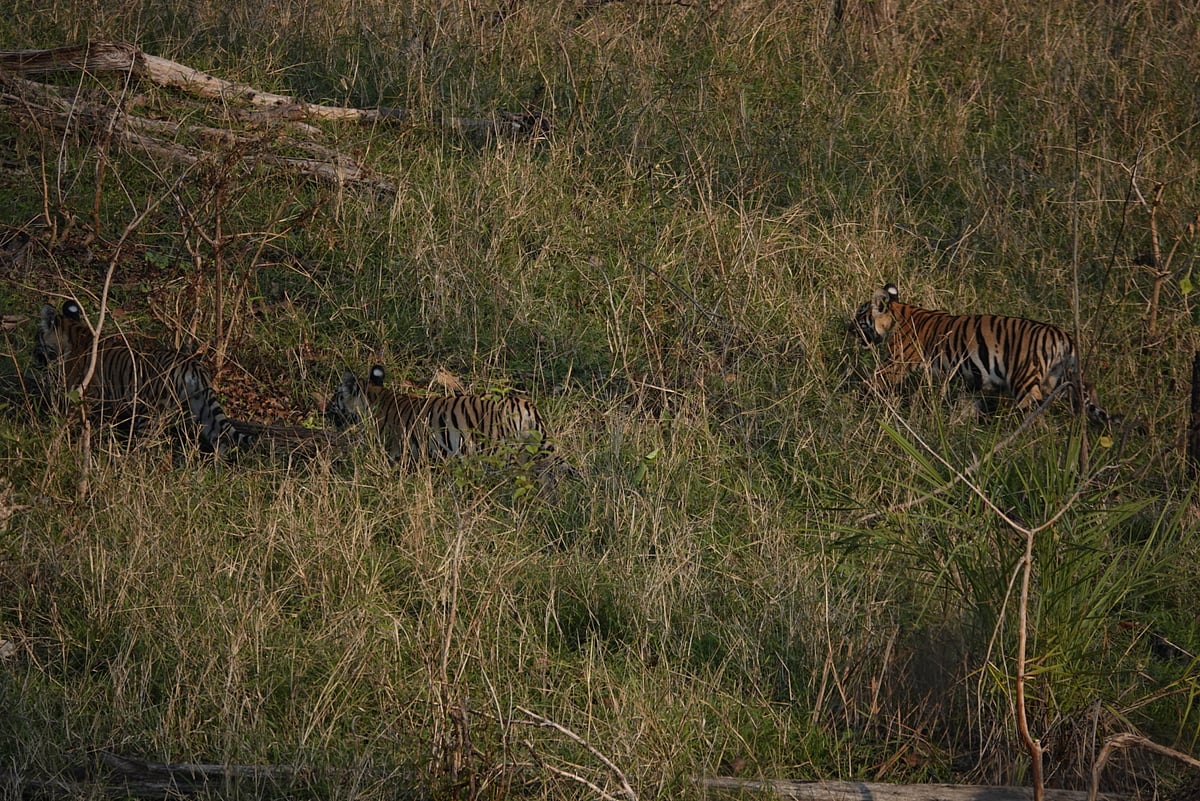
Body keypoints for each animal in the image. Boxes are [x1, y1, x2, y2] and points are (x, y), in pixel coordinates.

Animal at [34, 299, 248, 456]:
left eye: (38, 337)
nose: (34, 357)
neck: (73, 335)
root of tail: (193, 365)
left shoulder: (84, 395)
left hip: (150, 413)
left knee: (144, 446)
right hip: (201, 408)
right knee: (220, 440)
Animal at [327, 364, 570, 477]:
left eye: (335, 395)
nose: (325, 412)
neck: (376, 397)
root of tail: (526, 405)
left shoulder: (393, 450)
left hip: (500, 455)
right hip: (535, 454)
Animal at [852, 283, 1109, 424]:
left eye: (859, 316)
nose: (848, 327)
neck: (898, 314)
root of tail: (1063, 335)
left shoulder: (895, 364)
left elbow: (871, 380)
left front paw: (855, 399)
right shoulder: (972, 378)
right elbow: (966, 404)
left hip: (1026, 382)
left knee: (1036, 417)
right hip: (1057, 380)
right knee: (1088, 387)